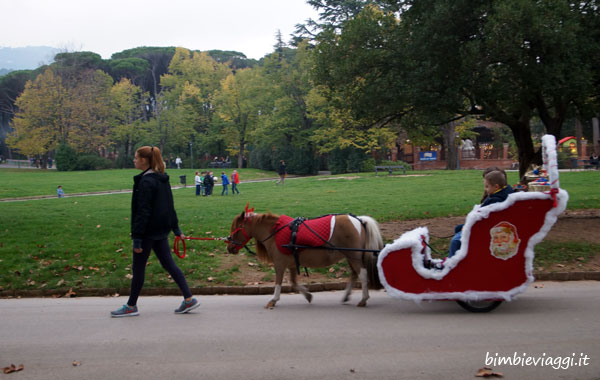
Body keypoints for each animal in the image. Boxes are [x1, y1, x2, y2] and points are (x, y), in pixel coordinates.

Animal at [227, 205, 382, 308]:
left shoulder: (279, 264)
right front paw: (308, 295)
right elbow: (293, 283)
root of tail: (358, 219)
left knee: (362, 275)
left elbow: (278, 282)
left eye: (236, 229)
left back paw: (363, 299)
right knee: (354, 274)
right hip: (350, 257)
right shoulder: (291, 264)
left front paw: (274, 299)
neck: (275, 232)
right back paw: (346, 296)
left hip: (353, 256)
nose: (229, 248)